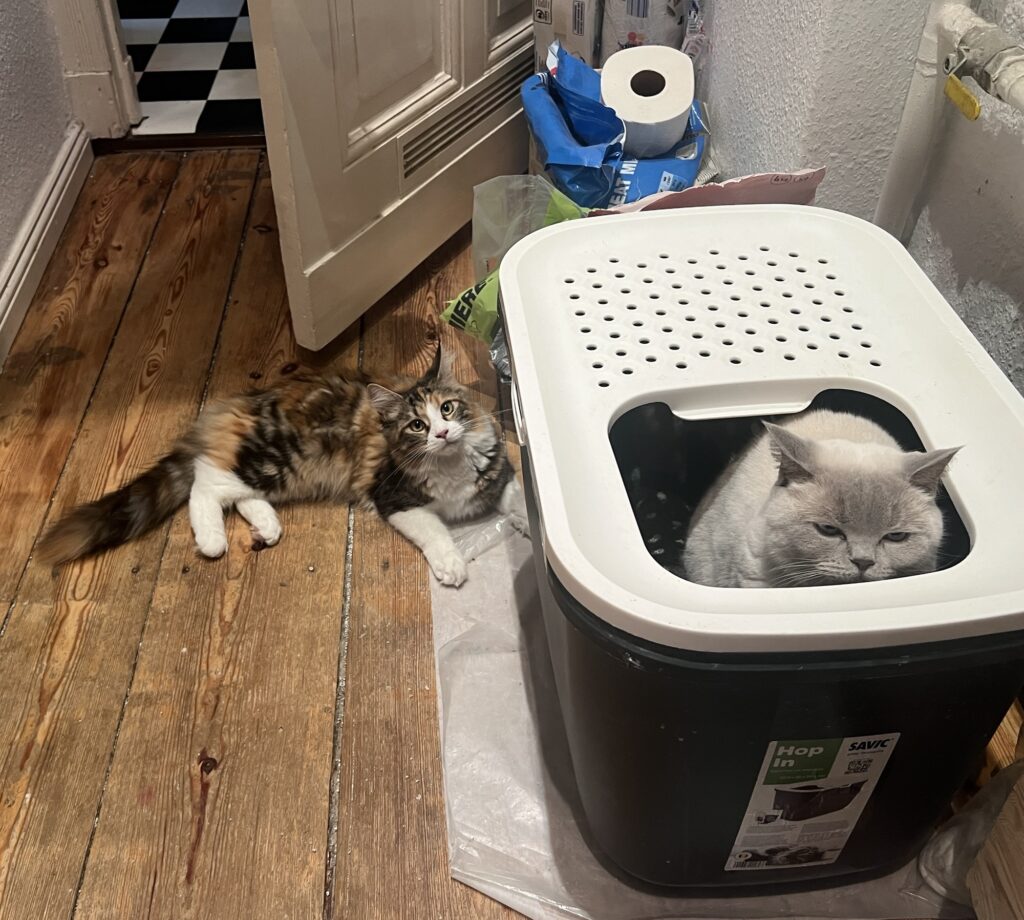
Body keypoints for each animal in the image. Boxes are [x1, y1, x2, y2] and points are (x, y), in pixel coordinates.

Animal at [38, 344, 525, 587]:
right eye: (417, 425)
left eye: (448, 409)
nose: (442, 434)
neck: (451, 466)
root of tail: (236, 405)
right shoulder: (395, 497)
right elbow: (436, 531)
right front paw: (451, 566)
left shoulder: (497, 473)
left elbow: (519, 498)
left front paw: (527, 524)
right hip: (275, 459)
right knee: (204, 483)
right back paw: (213, 541)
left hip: (280, 474)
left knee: (235, 494)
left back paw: (267, 527)